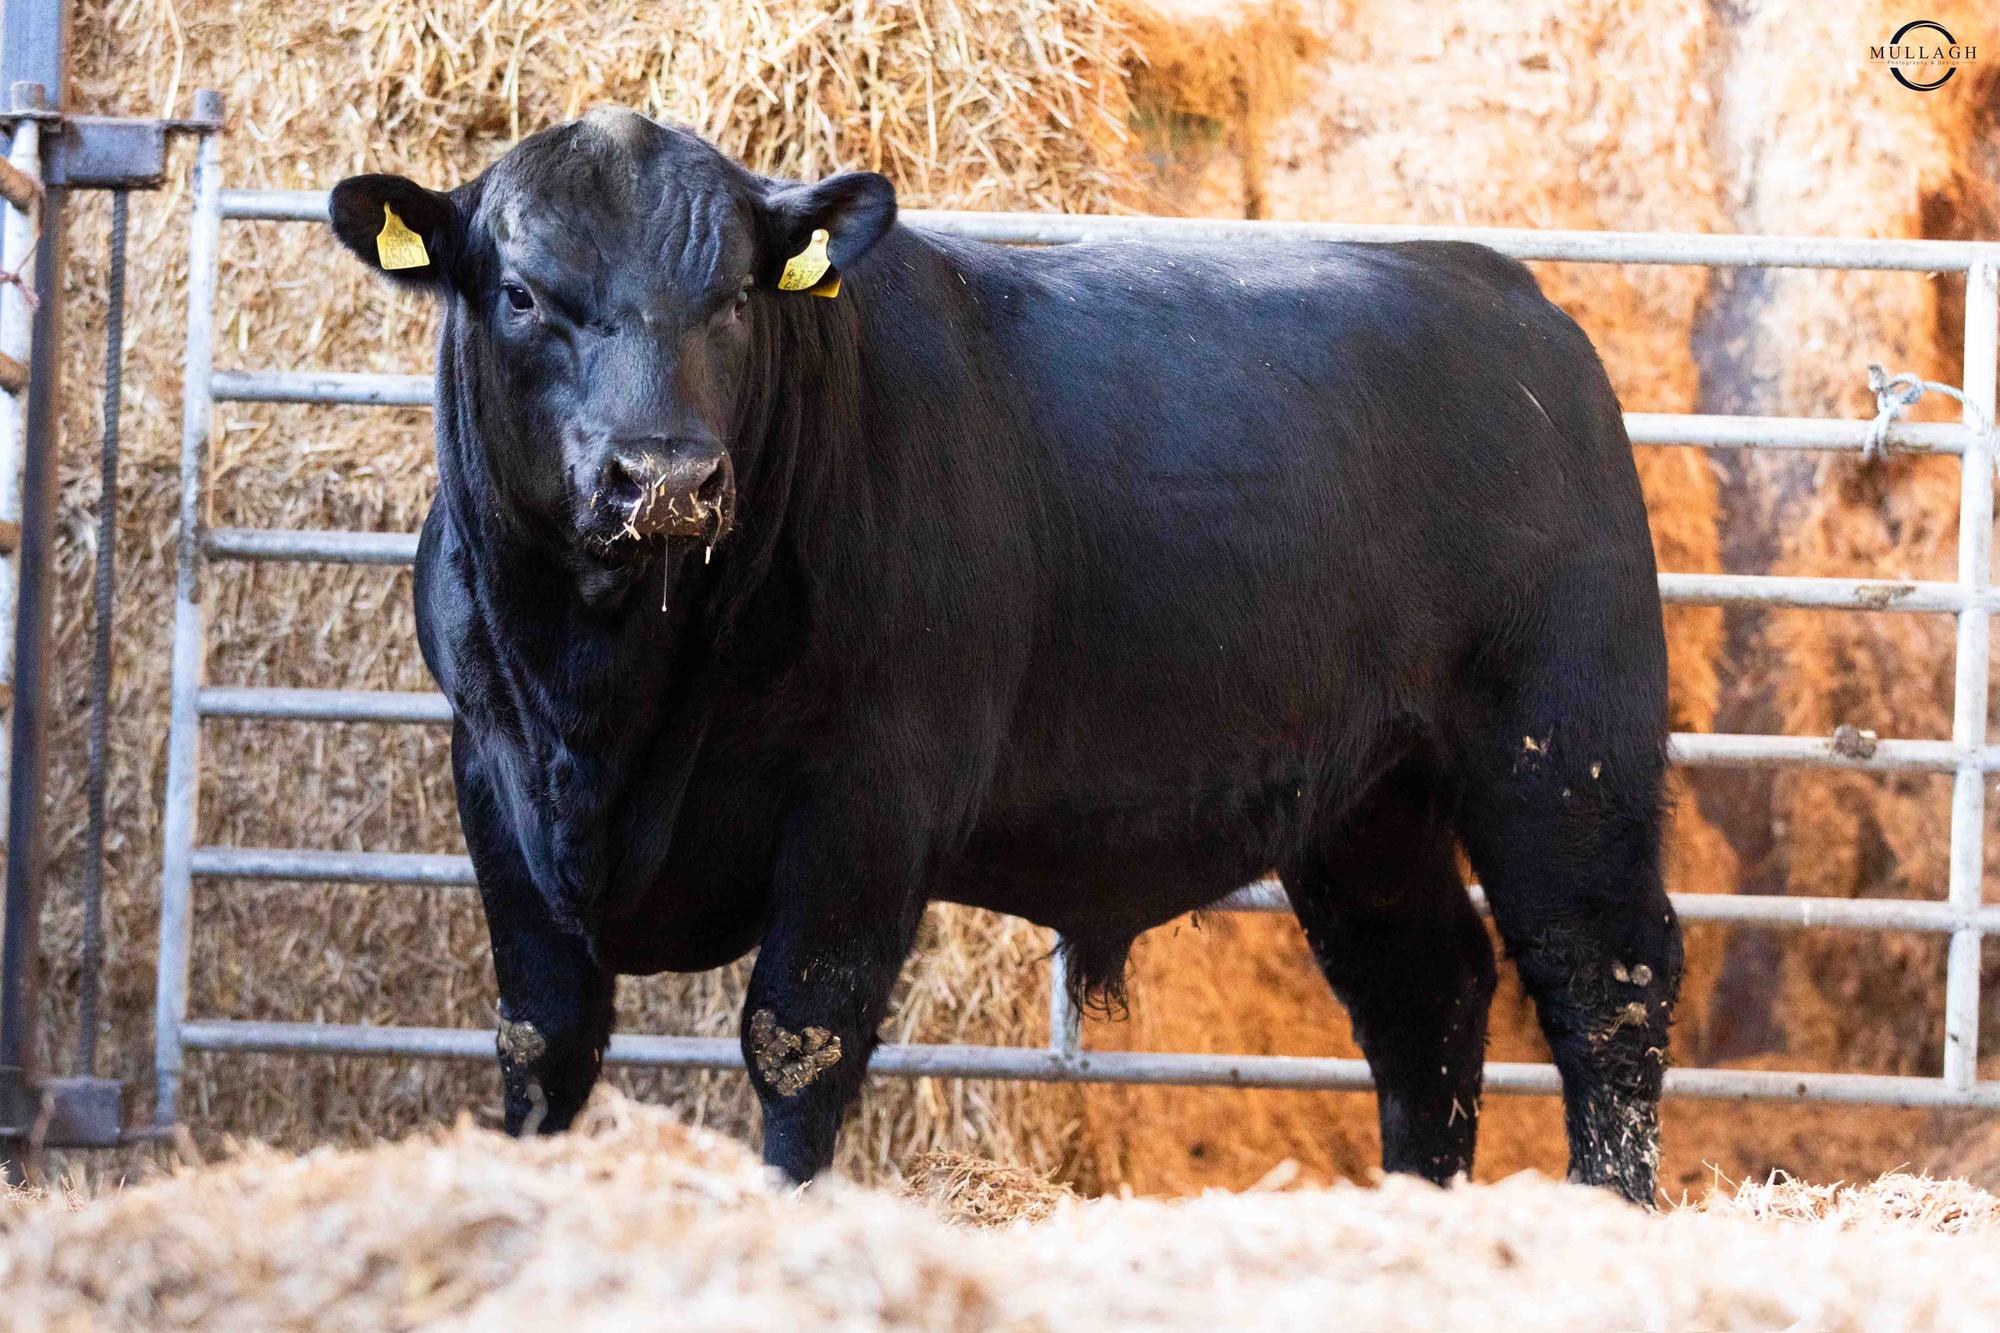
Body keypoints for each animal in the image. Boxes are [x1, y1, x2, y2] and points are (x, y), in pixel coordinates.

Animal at [328, 106, 1682, 1203]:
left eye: (737, 296)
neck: (608, 703)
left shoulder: (866, 798)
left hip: (1560, 744)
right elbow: (541, 1037)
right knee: (1423, 998)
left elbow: (797, 1035)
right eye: (521, 293)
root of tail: (1503, 292)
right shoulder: (492, 775)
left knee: (1605, 979)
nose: (663, 476)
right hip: (1368, 798)